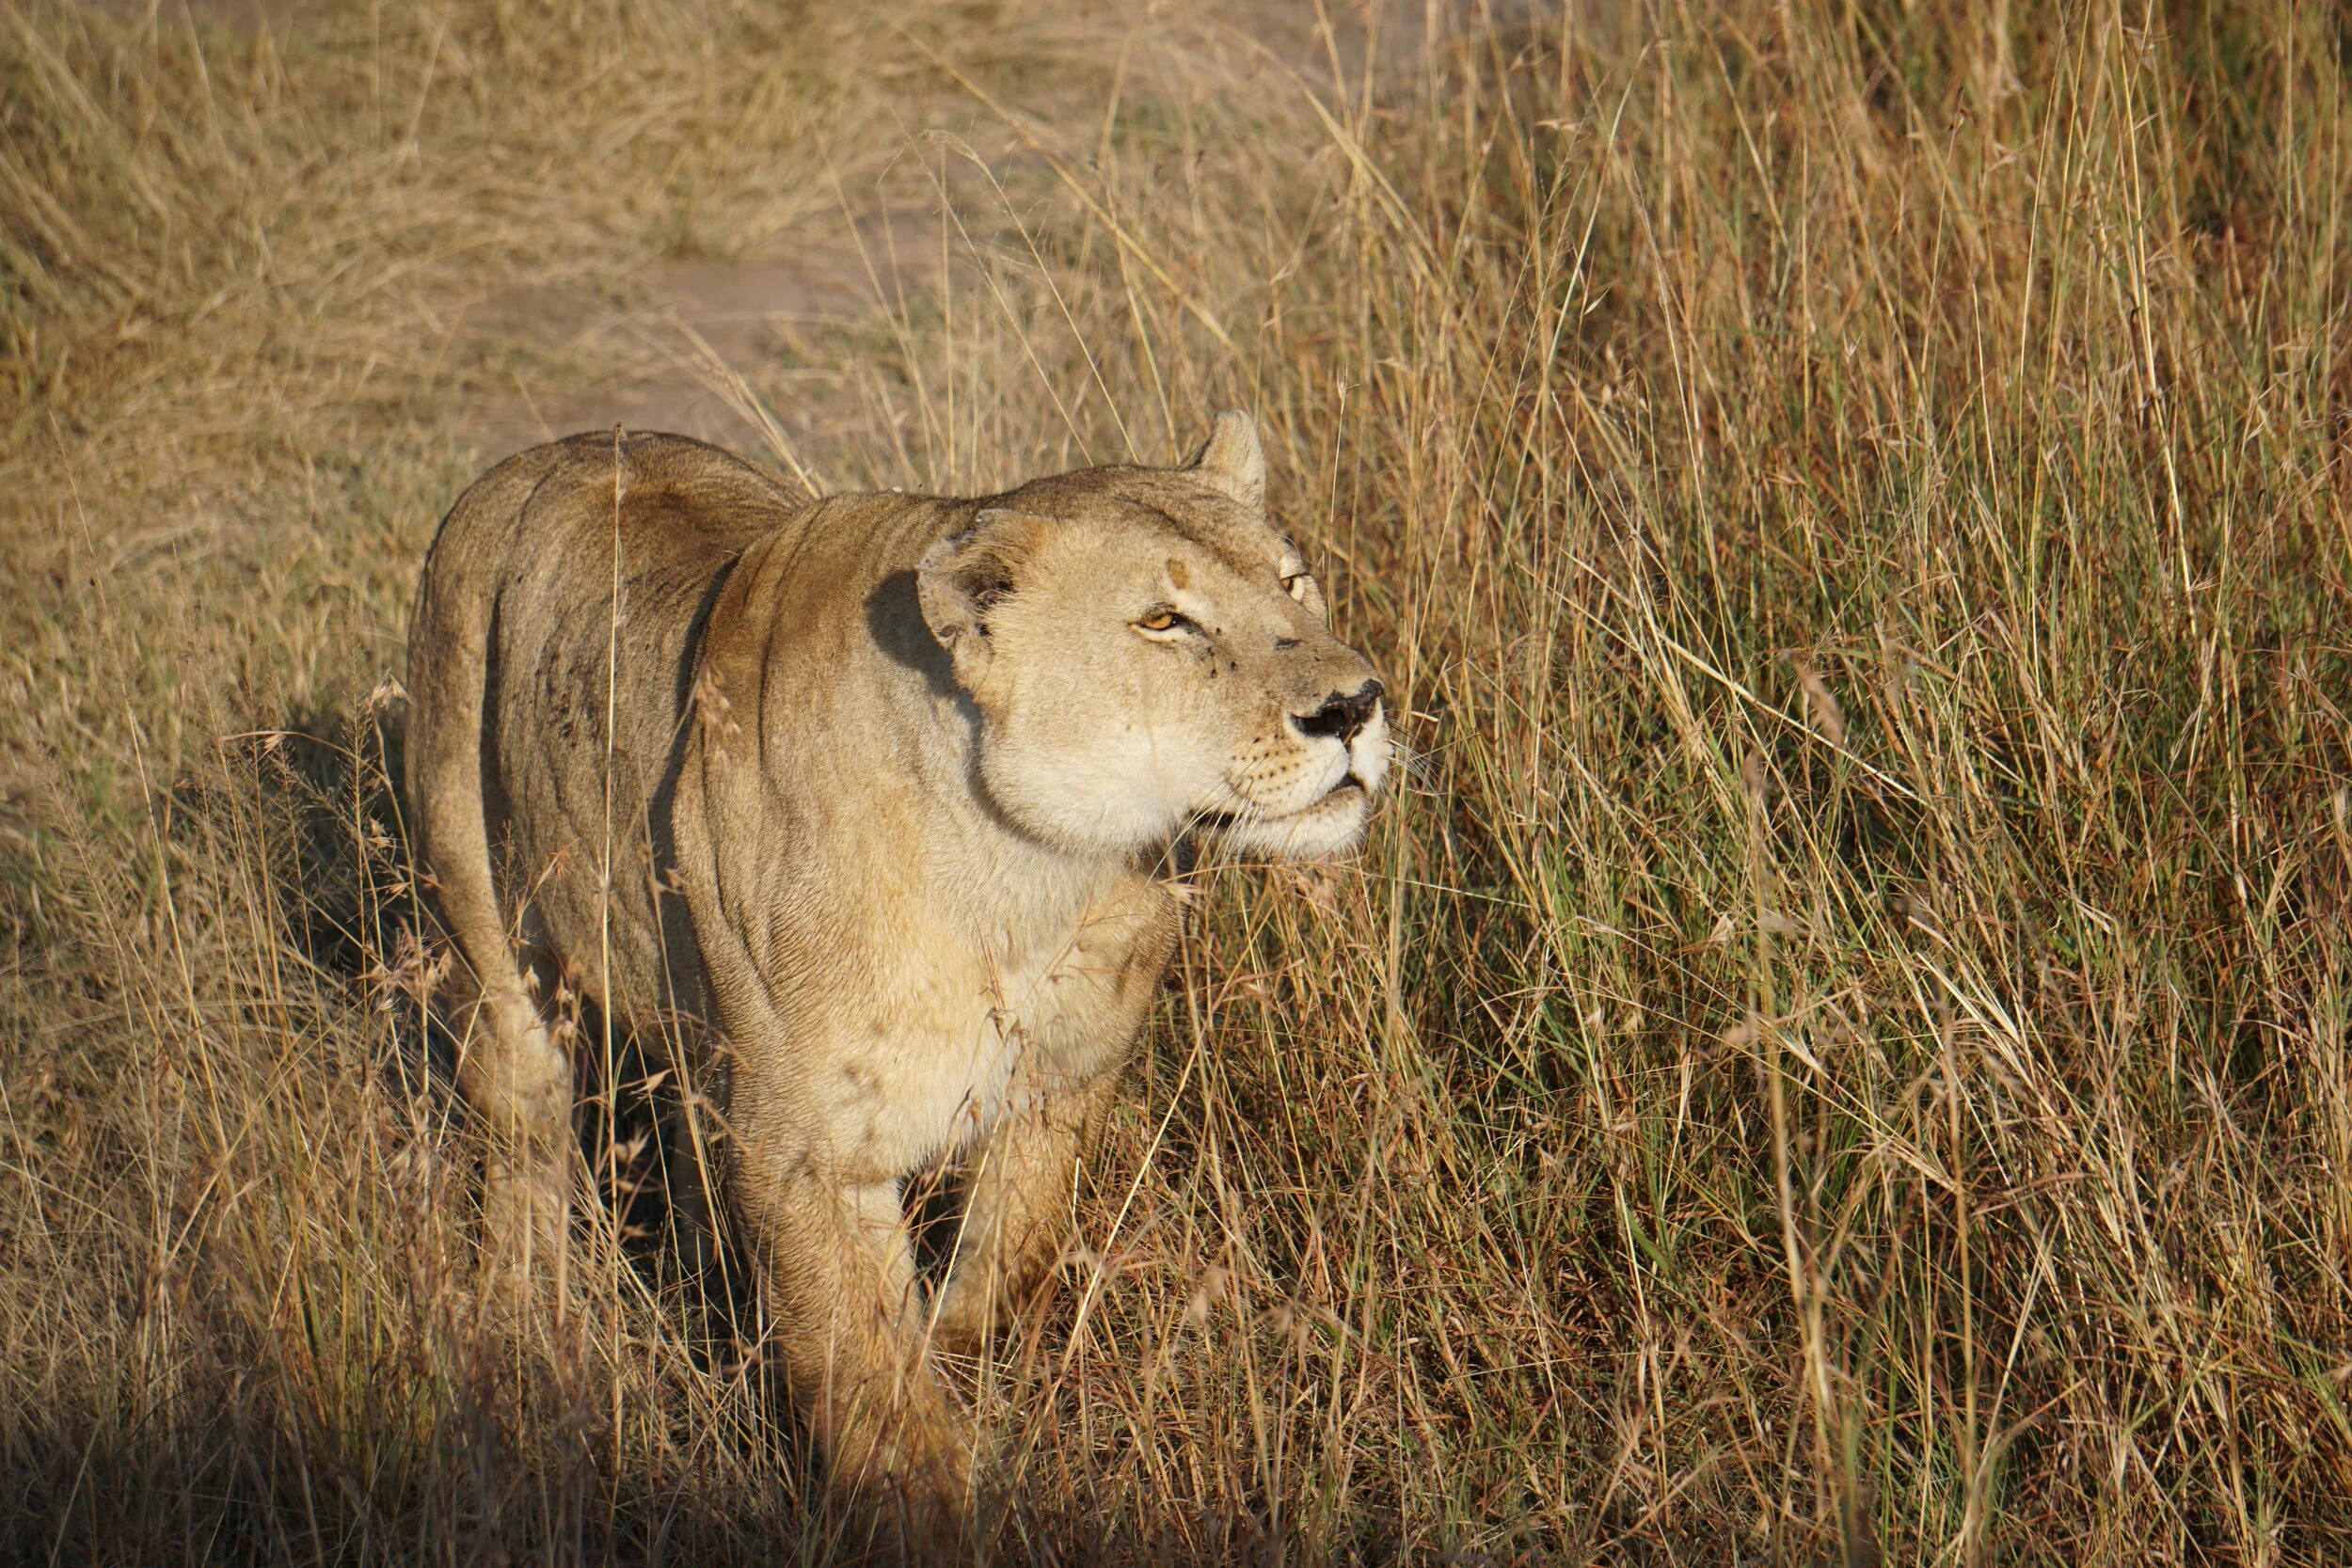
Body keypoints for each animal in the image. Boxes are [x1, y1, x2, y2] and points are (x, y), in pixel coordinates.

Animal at [403, 412, 1389, 1549]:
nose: (1354, 706)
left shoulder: (1061, 1082)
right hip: (487, 946)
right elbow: (874, 1383)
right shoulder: (808, 1155)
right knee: (524, 1141)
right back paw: (524, 1330)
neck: (1033, 881)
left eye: (1295, 581)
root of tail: (543, 451)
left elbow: (1006, 1267)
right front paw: (929, 1506)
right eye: (1163, 620)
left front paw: (965, 1369)